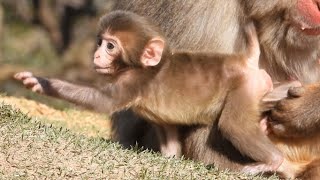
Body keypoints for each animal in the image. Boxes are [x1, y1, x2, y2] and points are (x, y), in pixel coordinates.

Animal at [16, 10, 282, 173]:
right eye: (100, 42)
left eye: (110, 46)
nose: (97, 55)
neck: (144, 66)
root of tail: (246, 61)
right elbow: (168, 132)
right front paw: (171, 156)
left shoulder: (134, 81)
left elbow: (103, 101)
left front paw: (42, 82)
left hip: (245, 87)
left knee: (233, 125)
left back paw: (273, 161)